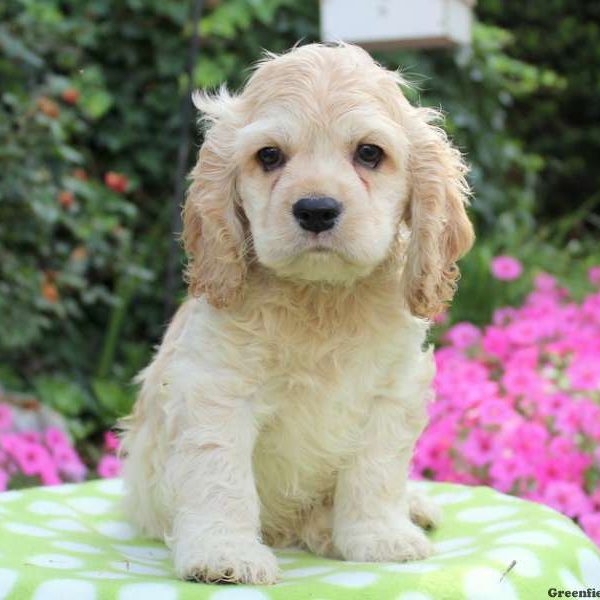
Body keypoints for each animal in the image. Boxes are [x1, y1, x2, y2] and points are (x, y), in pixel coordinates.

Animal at [120, 39, 474, 584]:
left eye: (369, 153)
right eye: (269, 156)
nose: (316, 210)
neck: (319, 297)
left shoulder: (392, 392)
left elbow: (375, 471)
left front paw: (380, 538)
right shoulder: (217, 389)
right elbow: (220, 475)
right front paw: (224, 554)